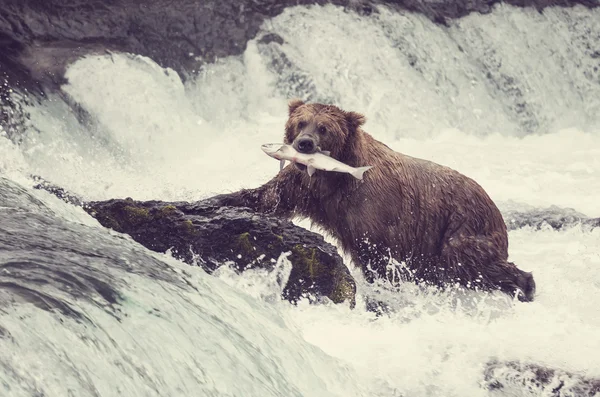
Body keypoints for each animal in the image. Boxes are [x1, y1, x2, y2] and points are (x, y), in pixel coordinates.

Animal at [211, 99, 536, 300]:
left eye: (323, 128)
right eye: (300, 122)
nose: (304, 144)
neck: (334, 176)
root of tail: (493, 204)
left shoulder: (372, 207)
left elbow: (377, 252)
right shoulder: (305, 187)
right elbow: (267, 197)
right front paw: (216, 199)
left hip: (459, 227)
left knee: (470, 263)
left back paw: (525, 286)